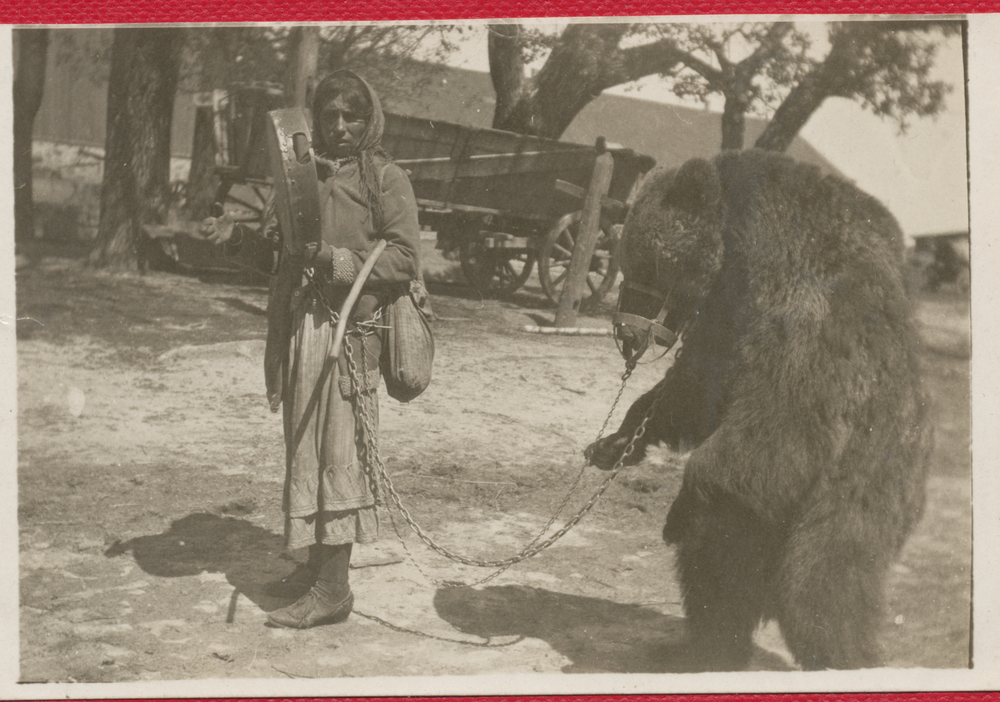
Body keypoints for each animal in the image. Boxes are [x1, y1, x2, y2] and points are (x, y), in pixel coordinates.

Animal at [584, 148, 928, 672]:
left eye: (643, 266)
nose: (626, 335)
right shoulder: (724, 321)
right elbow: (693, 391)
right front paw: (613, 442)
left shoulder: (805, 320)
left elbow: (776, 428)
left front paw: (676, 512)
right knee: (721, 571)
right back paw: (702, 648)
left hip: (858, 490)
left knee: (820, 586)